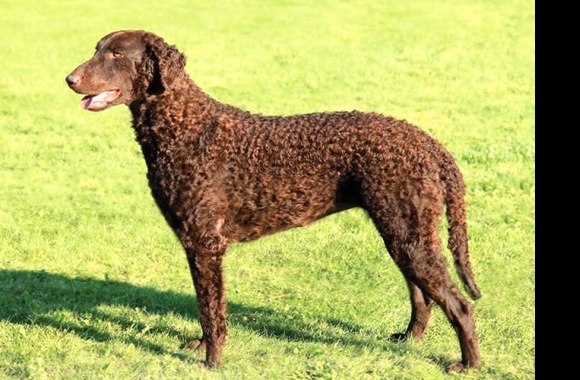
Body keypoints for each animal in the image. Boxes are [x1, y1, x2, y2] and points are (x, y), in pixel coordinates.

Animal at [65, 30, 482, 372]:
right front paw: (201, 344)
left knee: (460, 305)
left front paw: (211, 360)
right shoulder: (195, 245)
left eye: (117, 54)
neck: (186, 126)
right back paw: (408, 340)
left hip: (408, 235)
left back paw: (468, 364)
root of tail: (428, 143)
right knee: (423, 296)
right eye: (97, 49)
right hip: (403, 232)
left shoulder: (206, 243)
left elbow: (211, 307)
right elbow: (204, 303)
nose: (69, 79)